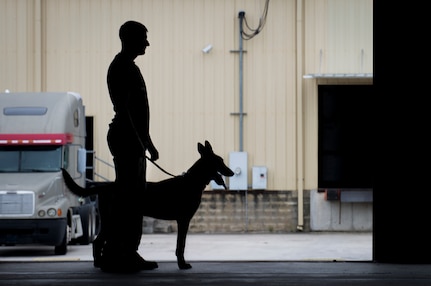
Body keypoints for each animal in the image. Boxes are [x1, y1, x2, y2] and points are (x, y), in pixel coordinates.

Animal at [61, 141, 233, 270]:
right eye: (220, 161)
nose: (232, 172)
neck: (192, 182)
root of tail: (106, 186)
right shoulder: (183, 220)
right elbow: (181, 245)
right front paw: (182, 264)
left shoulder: (182, 220)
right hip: (113, 219)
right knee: (98, 241)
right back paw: (101, 264)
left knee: (98, 241)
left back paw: (99, 264)